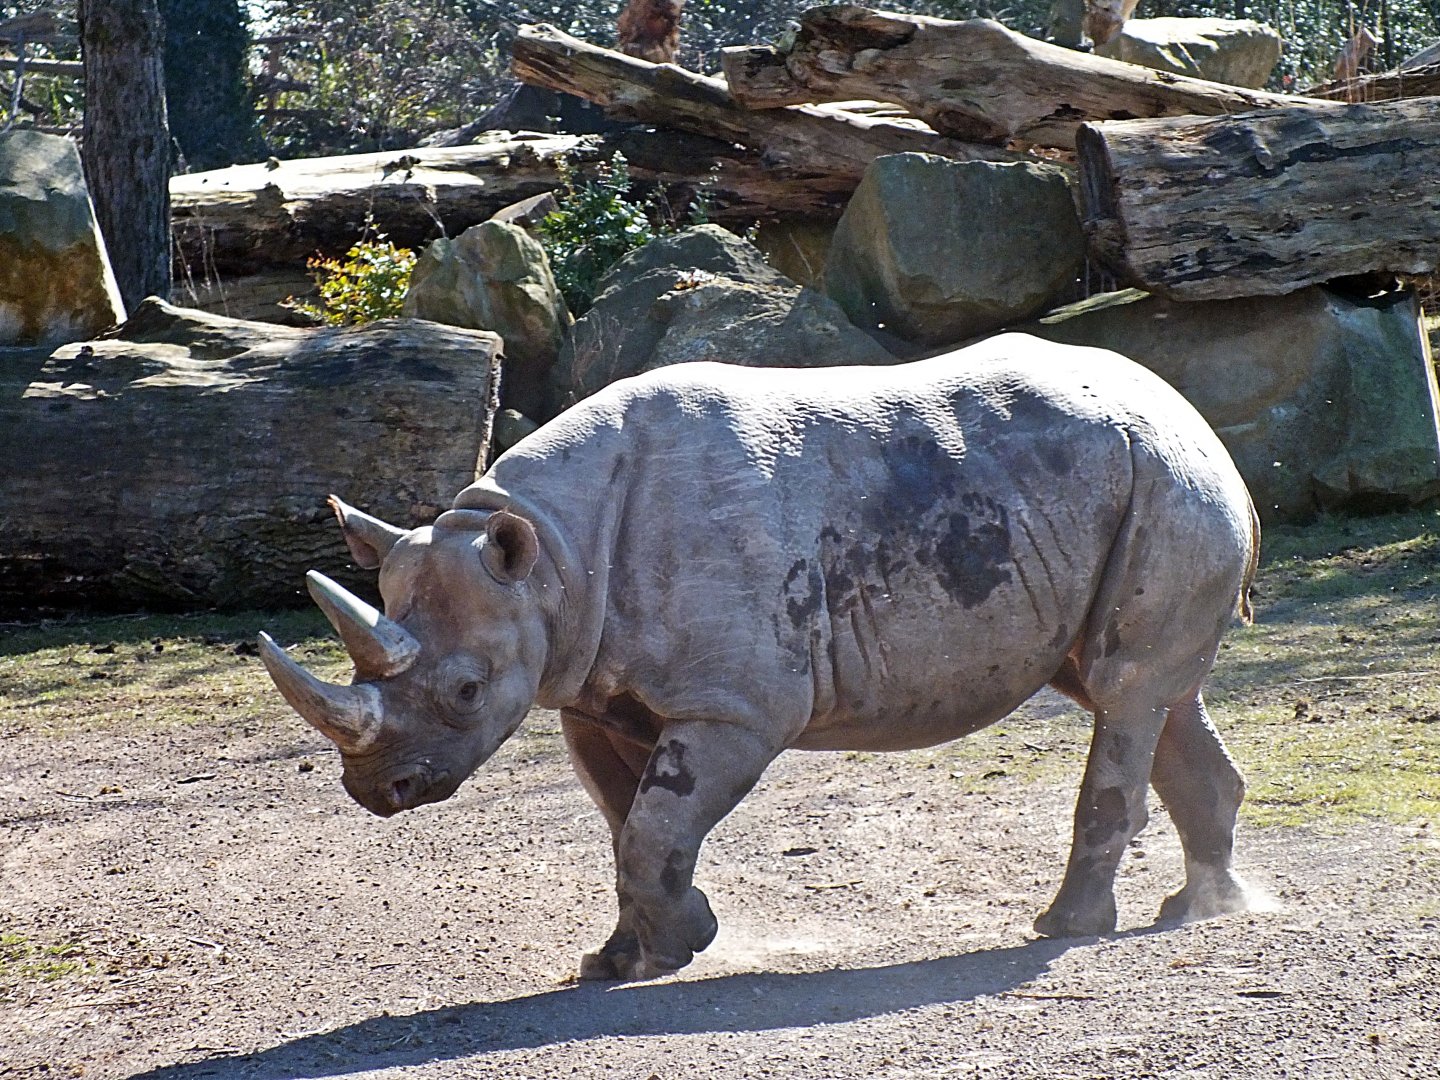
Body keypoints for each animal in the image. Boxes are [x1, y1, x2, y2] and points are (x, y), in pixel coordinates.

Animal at [259, 333, 1260, 981]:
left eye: (468, 691)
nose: (376, 791)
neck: (548, 554)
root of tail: (1193, 415)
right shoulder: (588, 690)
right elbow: (627, 824)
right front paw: (621, 961)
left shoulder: (737, 704)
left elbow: (654, 826)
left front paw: (677, 947)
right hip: (1131, 486)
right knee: (1138, 690)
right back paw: (1208, 909)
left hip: (1168, 483)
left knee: (1126, 693)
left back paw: (1063, 929)